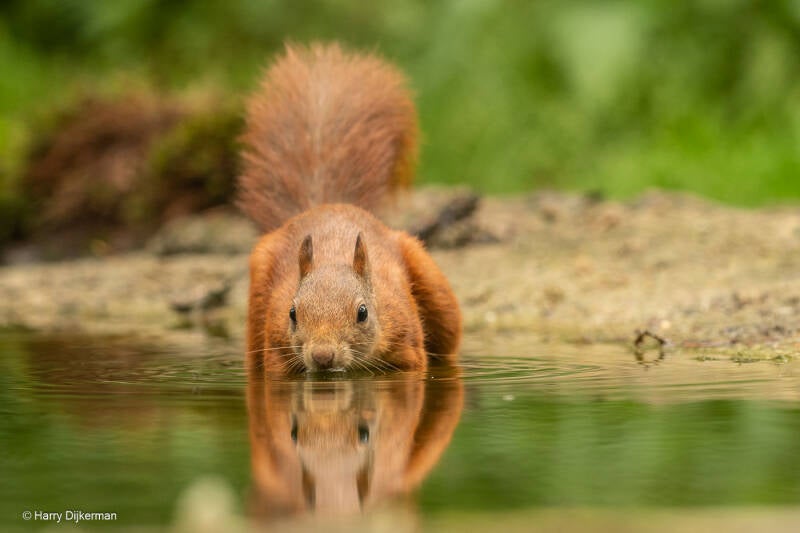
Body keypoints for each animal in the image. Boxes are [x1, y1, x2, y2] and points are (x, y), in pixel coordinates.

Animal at [239, 43, 462, 373]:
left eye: (363, 313)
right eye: (292, 313)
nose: (322, 356)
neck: (332, 256)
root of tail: (327, 204)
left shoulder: (408, 345)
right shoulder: (276, 349)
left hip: (434, 290)